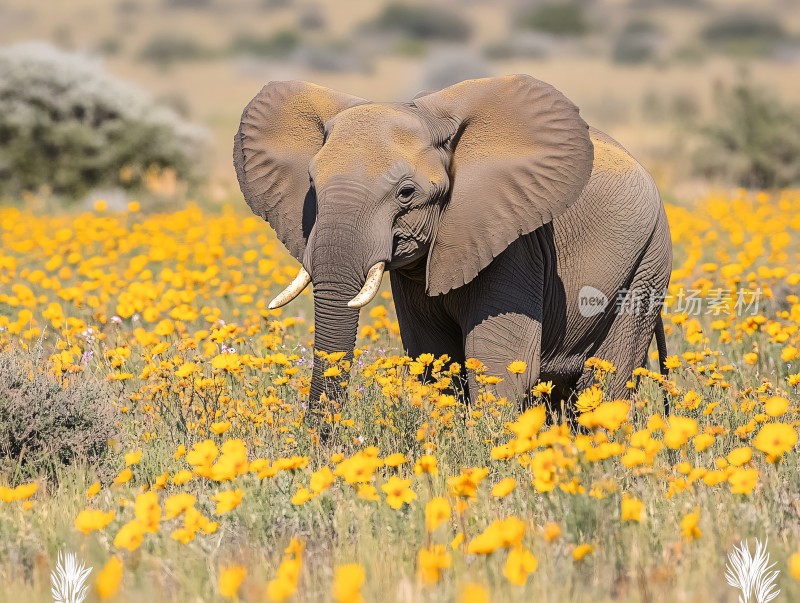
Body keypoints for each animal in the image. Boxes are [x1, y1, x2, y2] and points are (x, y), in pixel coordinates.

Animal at [231, 73, 668, 418]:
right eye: (312, 187)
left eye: (406, 193)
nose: (323, 445)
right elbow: (433, 357)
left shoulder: (515, 244)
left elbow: (499, 365)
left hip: (648, 266)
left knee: (607, 380)